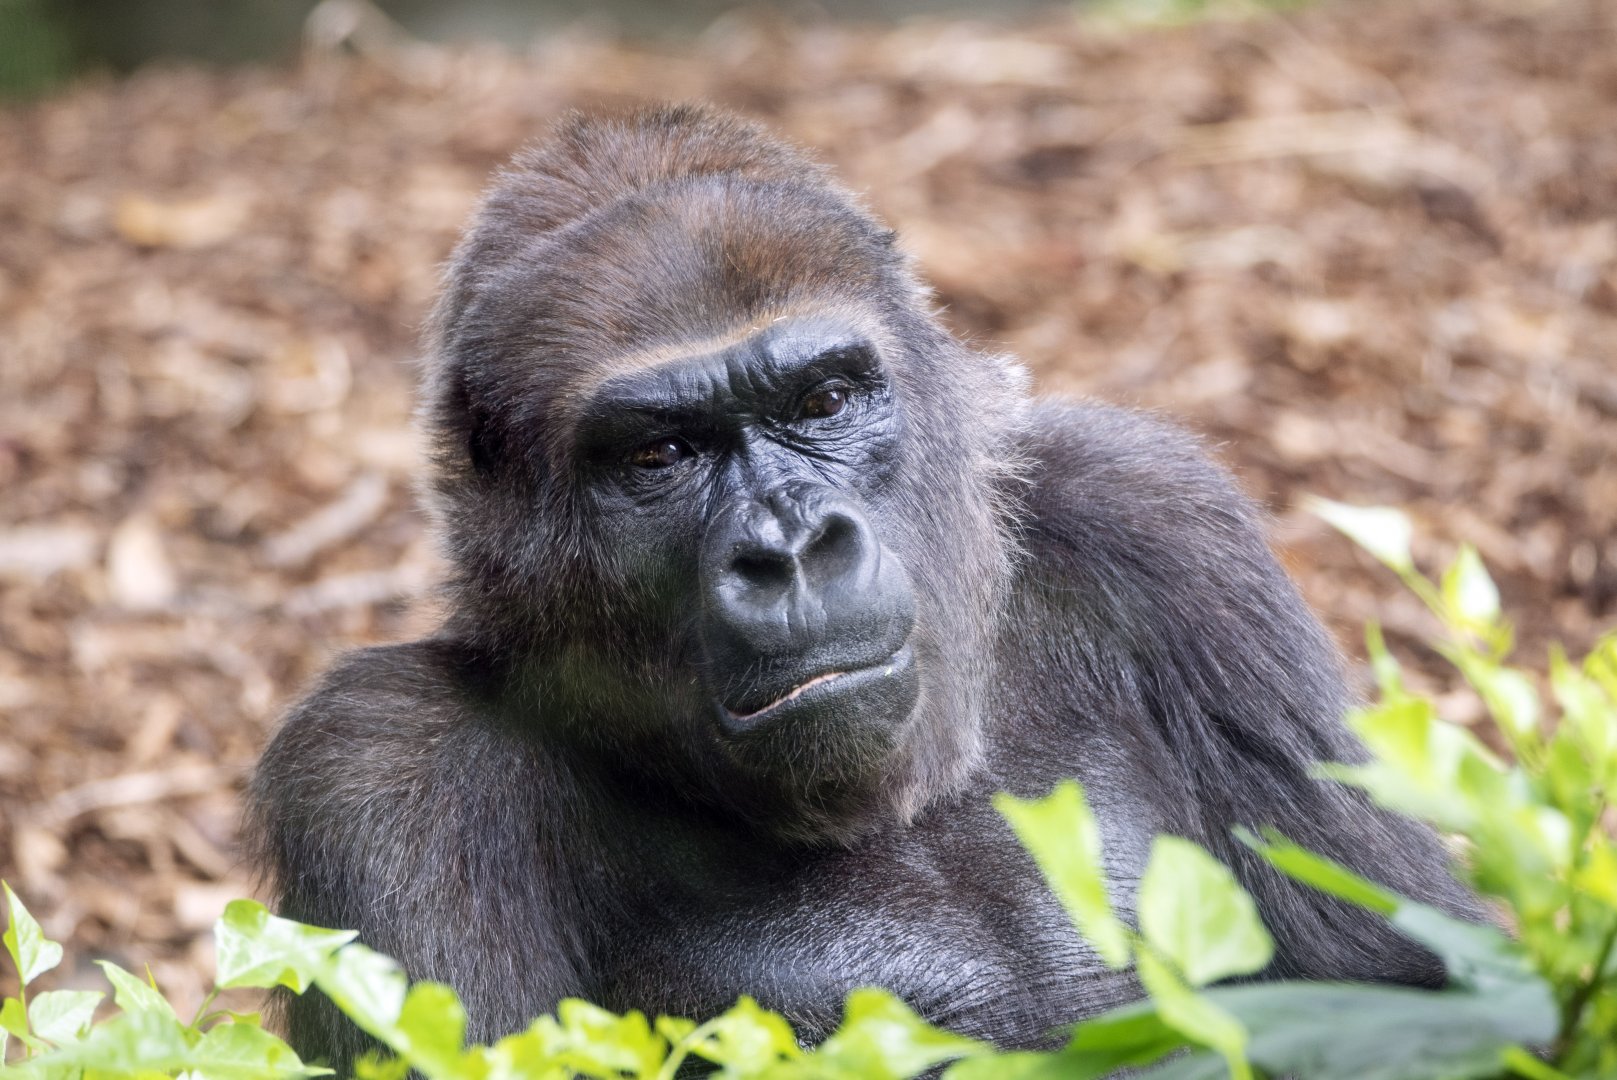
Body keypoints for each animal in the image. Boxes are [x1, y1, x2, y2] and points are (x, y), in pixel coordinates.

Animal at [250, 104, 1478, 1071]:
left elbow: (1425, 993)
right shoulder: (376, 767)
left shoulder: (1163, 525)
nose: (791, 548)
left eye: (825, 400)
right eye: (659, 455)